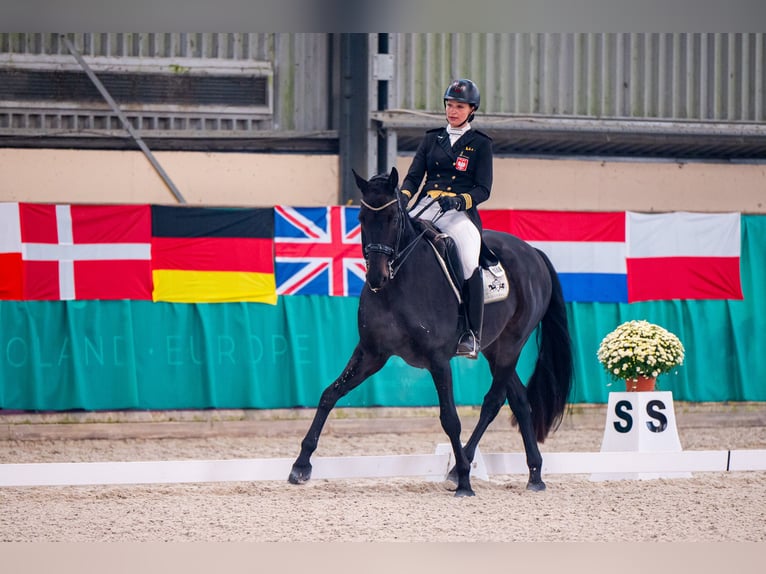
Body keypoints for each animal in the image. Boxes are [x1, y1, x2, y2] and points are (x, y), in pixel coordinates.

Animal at [290, 169, 576, 498]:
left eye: (393, 218)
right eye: (361, 218)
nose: (376, 277)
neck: (398, 283)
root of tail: (533, 252)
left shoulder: (438, 359)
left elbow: (450, 419)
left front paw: (464, 482)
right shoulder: (371, 352)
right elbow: (330, 394)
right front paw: (301, 466)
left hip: (511, 344)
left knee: (492, 402)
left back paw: (462, 471)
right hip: (494, 349)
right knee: (519, 400)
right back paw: (534, 474)